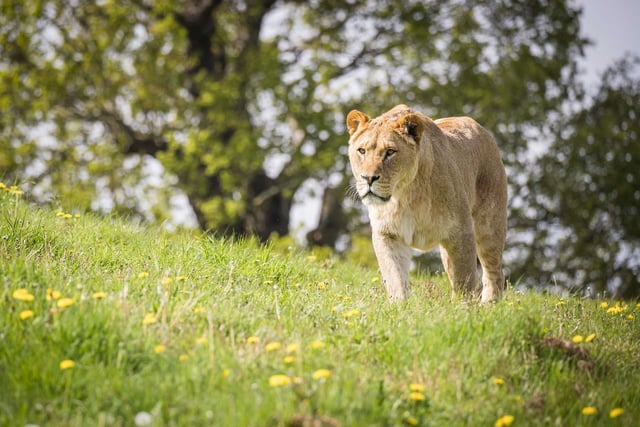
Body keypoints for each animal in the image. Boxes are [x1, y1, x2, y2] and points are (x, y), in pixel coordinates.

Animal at [346, 104, 507, 302]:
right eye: (362, 151)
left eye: (390, 152)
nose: (368, 178)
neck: (404, 195)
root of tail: (482, 130)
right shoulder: (387, 233)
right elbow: (394, 276)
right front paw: (399, 305)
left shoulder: (461, 232)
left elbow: (464, 280)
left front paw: (462, 308)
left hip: (489, 227)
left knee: (494, 272)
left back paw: (489, 304)